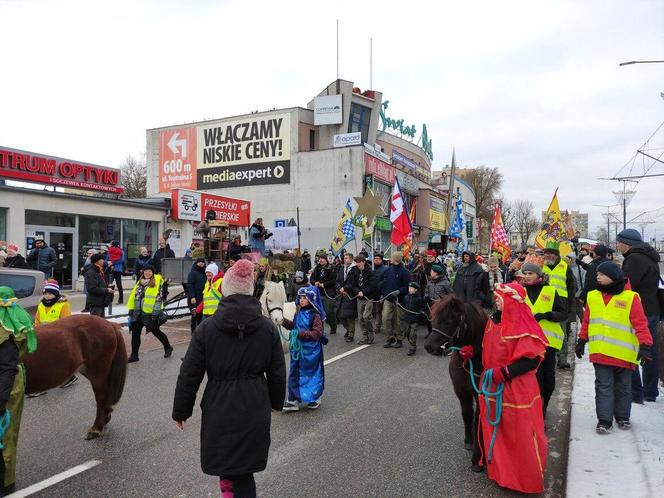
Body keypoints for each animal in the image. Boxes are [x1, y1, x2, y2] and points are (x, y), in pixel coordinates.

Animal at [426, 294, 488, 464]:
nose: (429, 346)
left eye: (448, 321)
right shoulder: (461, 391)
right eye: (433, 319)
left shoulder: (480, 393)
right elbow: (466, 414)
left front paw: (477, 458)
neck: (470, 360)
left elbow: (478, 421)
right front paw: (469, 441)